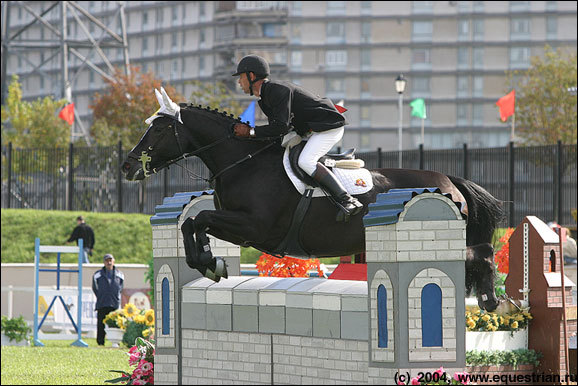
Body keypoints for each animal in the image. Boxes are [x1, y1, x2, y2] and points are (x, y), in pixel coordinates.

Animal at [124, 92, 502, 310]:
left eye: (159, 129)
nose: (128, 166)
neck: (243, 162)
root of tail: (449, 180)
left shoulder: (254, 227)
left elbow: (198, 220)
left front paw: (208, 261)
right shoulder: (239, 227)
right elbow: (192, 222)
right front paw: (208, 261)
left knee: (480, 253)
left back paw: (492, 300)